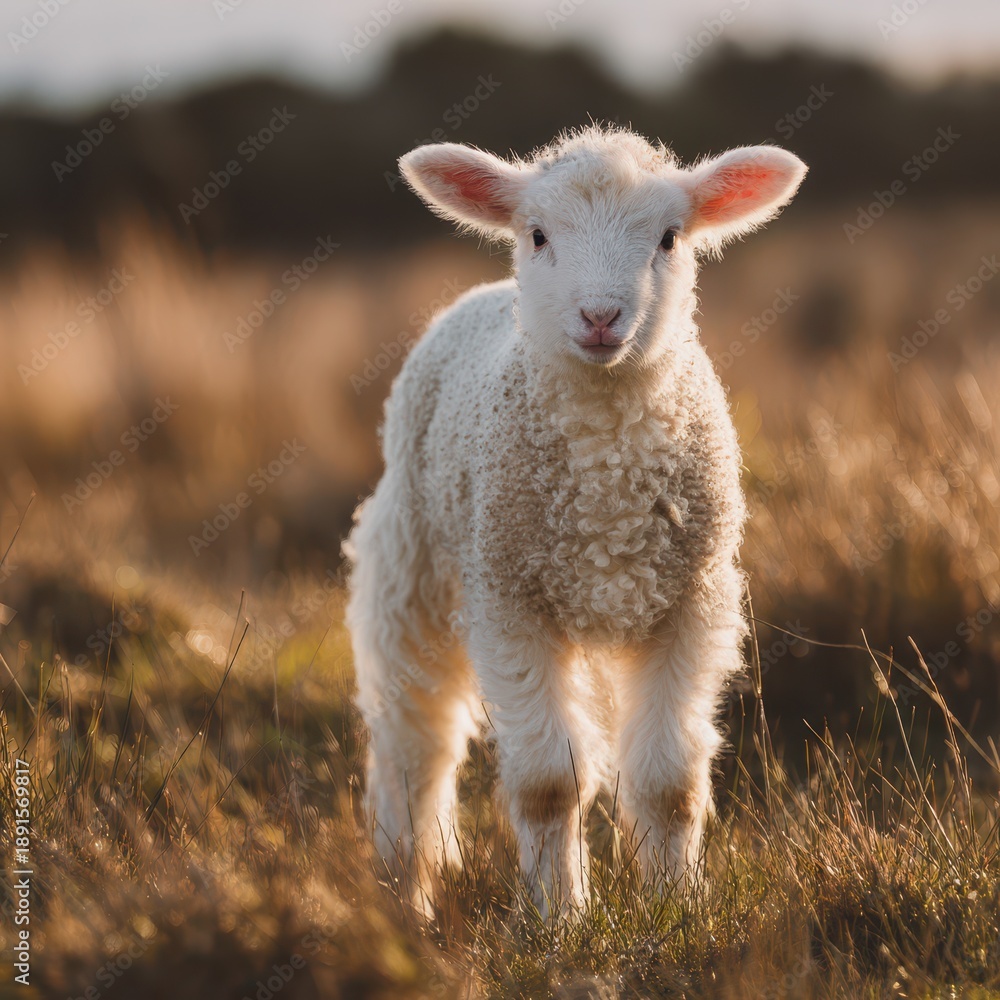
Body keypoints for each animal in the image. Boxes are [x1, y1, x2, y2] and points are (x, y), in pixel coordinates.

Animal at [345, 125, 807, 917]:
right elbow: (548, 786)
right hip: (412, 568)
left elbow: (668, 782)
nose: (599, 317)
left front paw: (675, 910)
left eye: (669, 237)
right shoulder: (511, 601)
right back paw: (405, 892)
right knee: (414, 740)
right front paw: (559, 919)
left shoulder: (690, 603)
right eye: (537, 234)